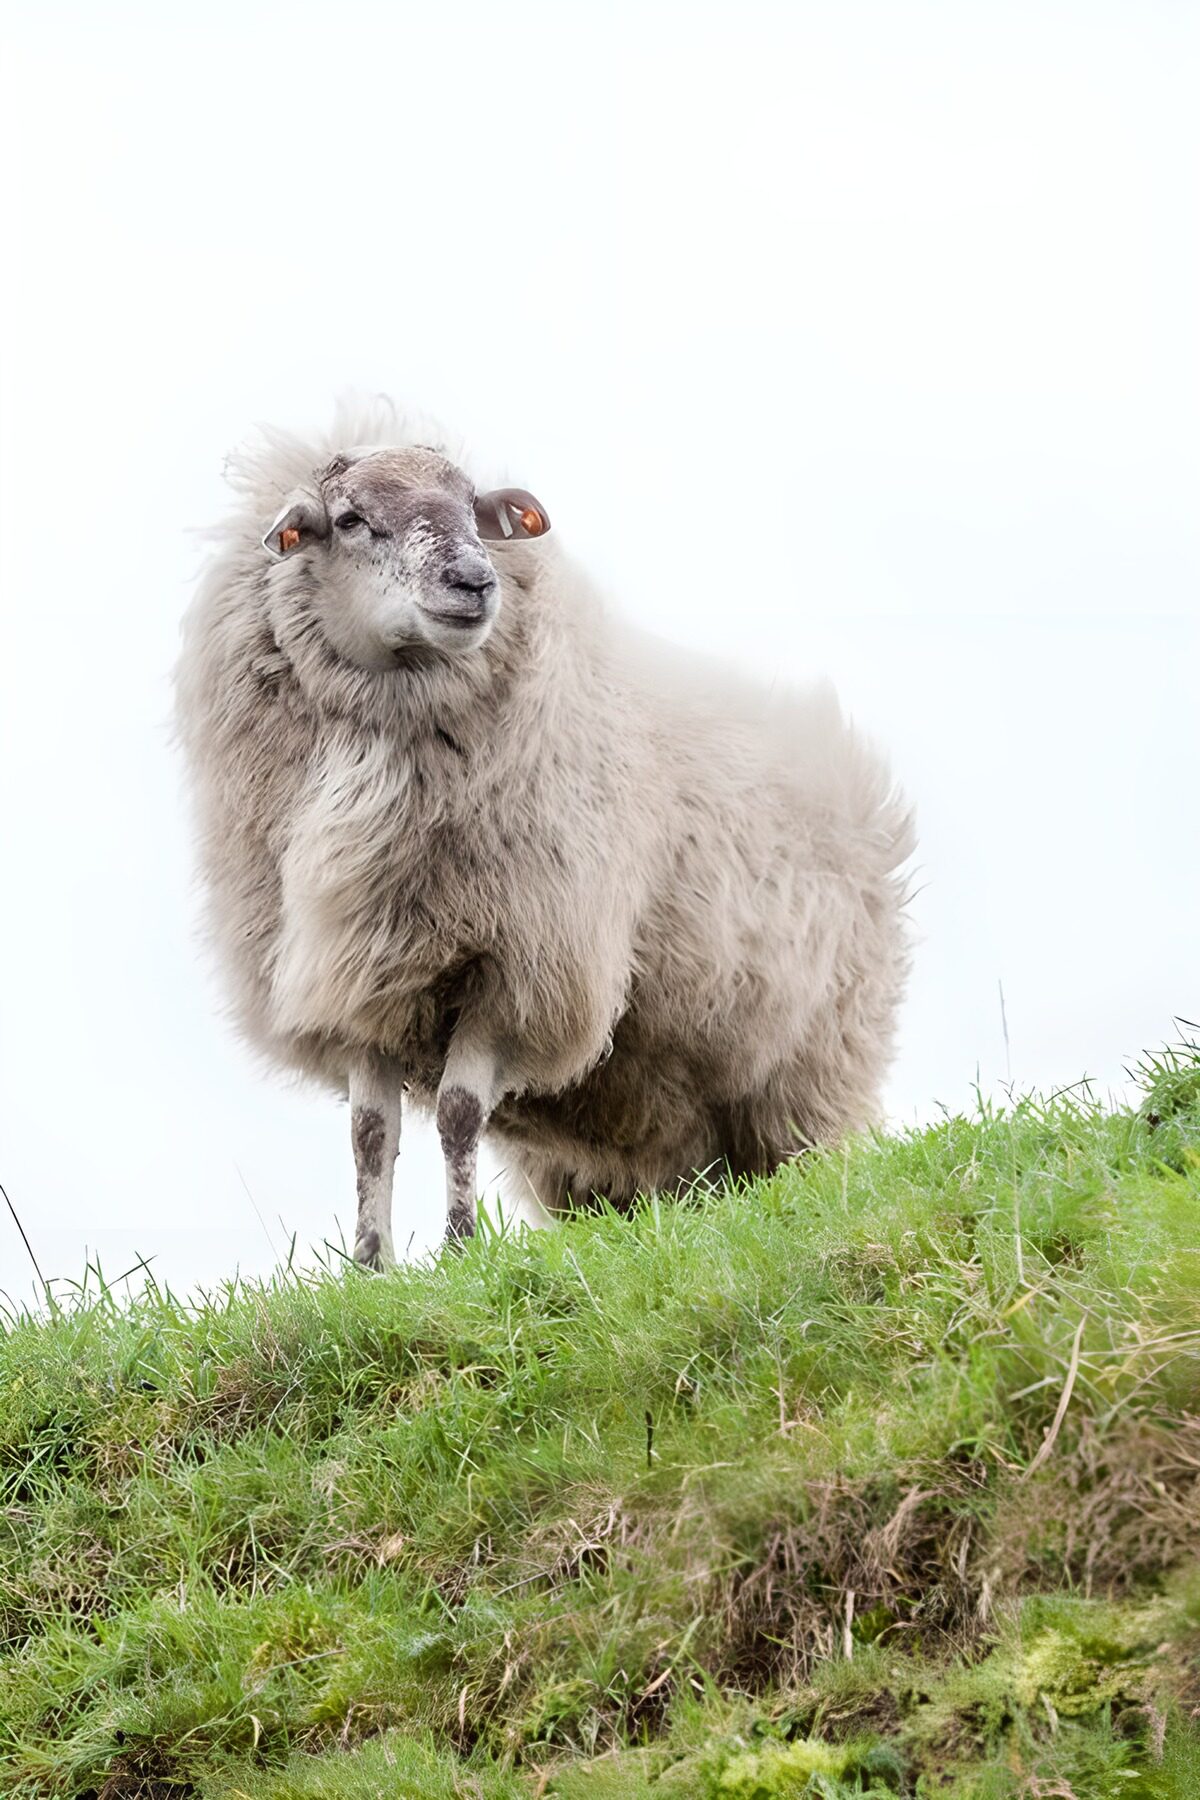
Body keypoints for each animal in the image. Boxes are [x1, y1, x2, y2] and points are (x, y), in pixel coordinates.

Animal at [176, 397, 914, 1265]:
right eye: (352, 520)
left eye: (474, 512)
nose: (475, 581)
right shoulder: (357, 973)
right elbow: (369, 1134)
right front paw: (370, 1266)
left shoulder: (517, 965)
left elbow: (459, 1113)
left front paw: (460, 1254)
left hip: (811, 1072)